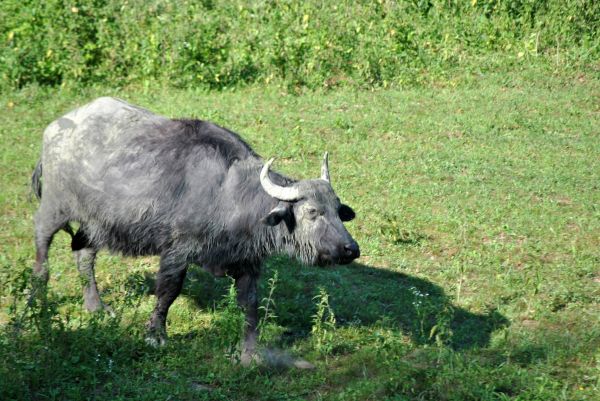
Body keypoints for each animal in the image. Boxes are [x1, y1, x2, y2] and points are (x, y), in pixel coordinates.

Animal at [32, 96, 358, 362]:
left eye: (337, 209)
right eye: (312, 212)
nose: (350, 249)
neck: (227, 193)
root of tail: (54, 129)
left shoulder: (247, 263)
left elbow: (250, 305)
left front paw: (249, 352)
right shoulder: (176, 251)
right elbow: (168, 291)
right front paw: (156, 335)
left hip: (96, 223)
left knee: (83, 255)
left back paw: (96, 306)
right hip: (55, 207)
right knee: (42, 244)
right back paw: (37, 297)